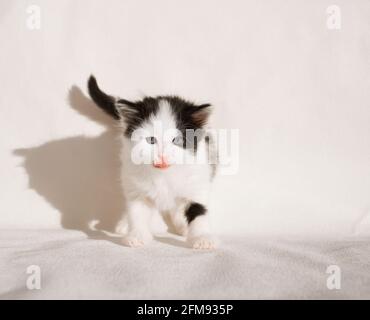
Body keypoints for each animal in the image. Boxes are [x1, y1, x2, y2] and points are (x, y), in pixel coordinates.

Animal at [87, 75, 217, 250]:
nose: (161, 155)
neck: (164, 175)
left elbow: (199, 210)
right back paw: (124, 224)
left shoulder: (198, 179)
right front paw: (137, 235)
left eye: (176, 140)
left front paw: (202, 238)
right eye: (151, 140)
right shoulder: (135, 185)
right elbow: (136, 210)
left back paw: (181, 226)